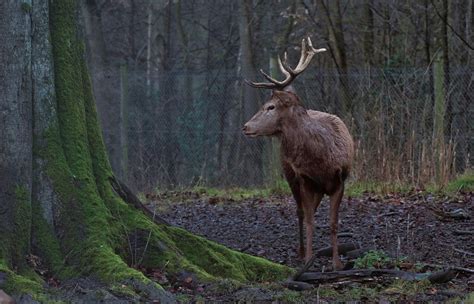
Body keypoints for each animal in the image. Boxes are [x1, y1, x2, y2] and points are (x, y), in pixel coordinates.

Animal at [243, 38, 354, 270]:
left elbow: (333, 222)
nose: (245, 126)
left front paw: (337, 263)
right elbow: (310, 220)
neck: (321, 160)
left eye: (270, 106)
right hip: (290, 175)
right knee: (300, 212)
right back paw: (301, 252)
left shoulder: (340, 179)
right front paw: (309, 259)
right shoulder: (304, 179)